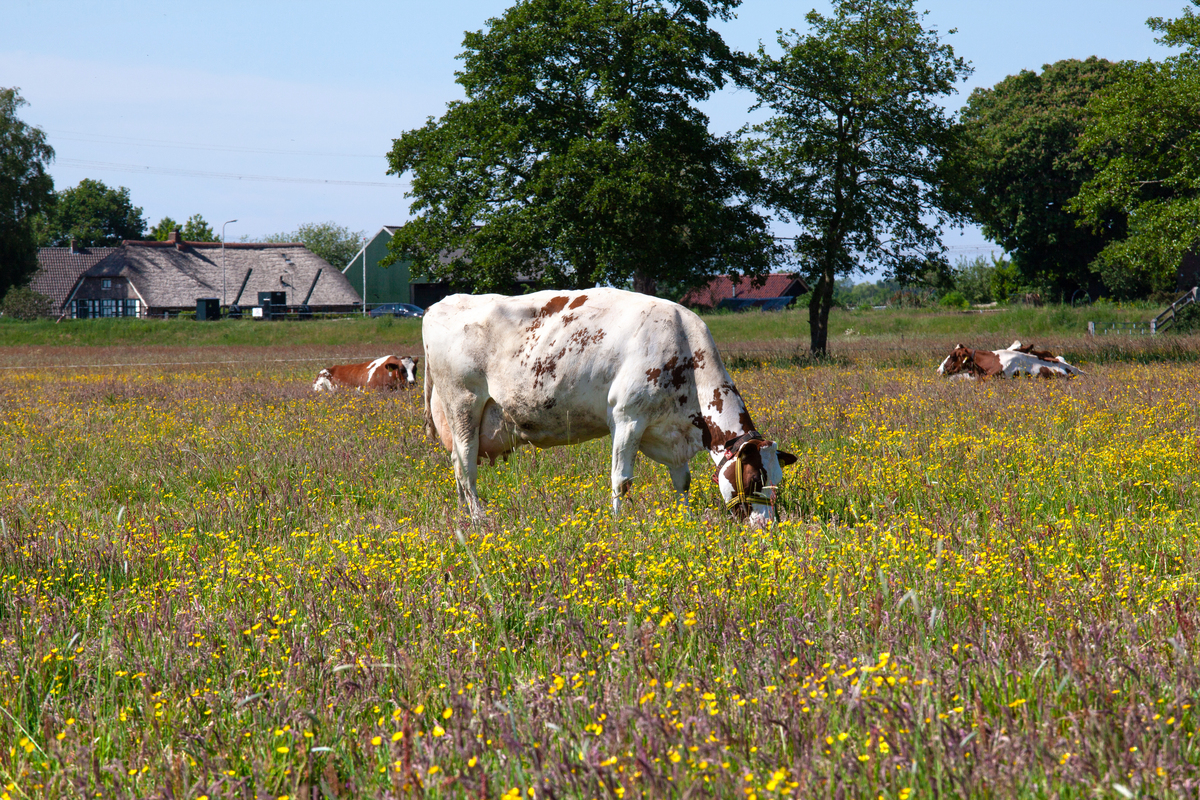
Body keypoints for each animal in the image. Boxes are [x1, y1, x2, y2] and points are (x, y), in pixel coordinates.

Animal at [422, 287, 796, 525]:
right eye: (754, 478)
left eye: (777, 481)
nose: (766, 527)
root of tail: (439, 304)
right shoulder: (627, 418)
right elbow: (621, 480)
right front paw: (619, 524)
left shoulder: (673, 431)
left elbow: (683, 482)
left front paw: (685, 518)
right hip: (463, 405)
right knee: (466, 468)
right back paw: (480, 518)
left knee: (458, 467)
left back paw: (464, 515)